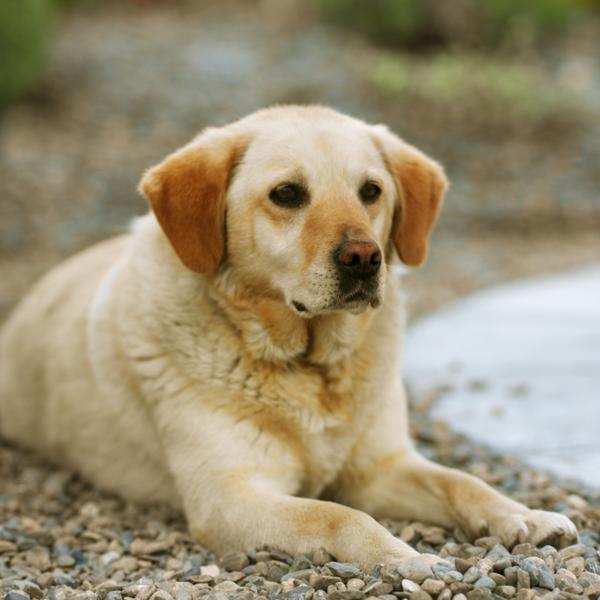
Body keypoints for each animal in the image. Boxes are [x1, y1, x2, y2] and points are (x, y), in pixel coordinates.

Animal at [0, 105, 576, 564]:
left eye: (372, 191)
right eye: (287, 194)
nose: (365, 258)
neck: (311, 367)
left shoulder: (380, 468)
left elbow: (461, 480)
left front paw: (523, 515)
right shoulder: (231, 496)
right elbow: (339, 516)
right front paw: (405, 557)